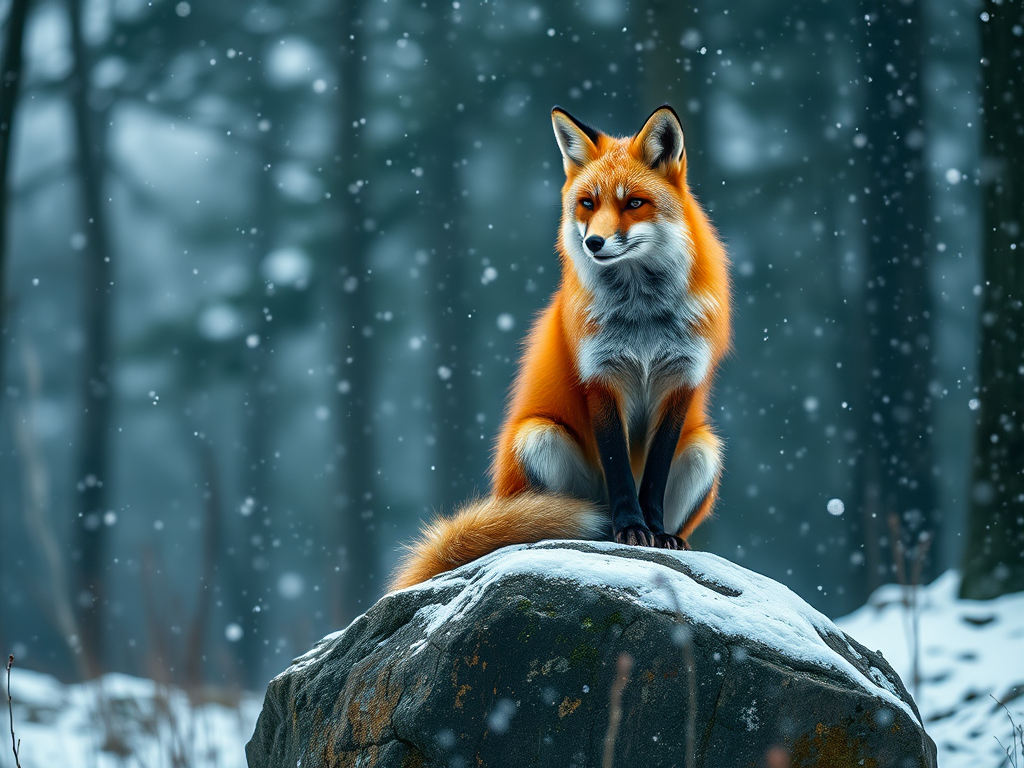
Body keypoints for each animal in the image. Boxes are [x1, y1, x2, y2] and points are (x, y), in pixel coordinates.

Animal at [390, 105, 731, 590]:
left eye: (633, 203)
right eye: (588, 203)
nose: (593, 243)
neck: (642, 320)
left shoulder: (682, 379)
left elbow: (654, 476)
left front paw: (653, 531)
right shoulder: (599, 376)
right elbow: (619, 468)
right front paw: (631, 530)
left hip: (704, 449)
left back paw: (667, 534)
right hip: (539, 436)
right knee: (563, 517)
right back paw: (598, 530)